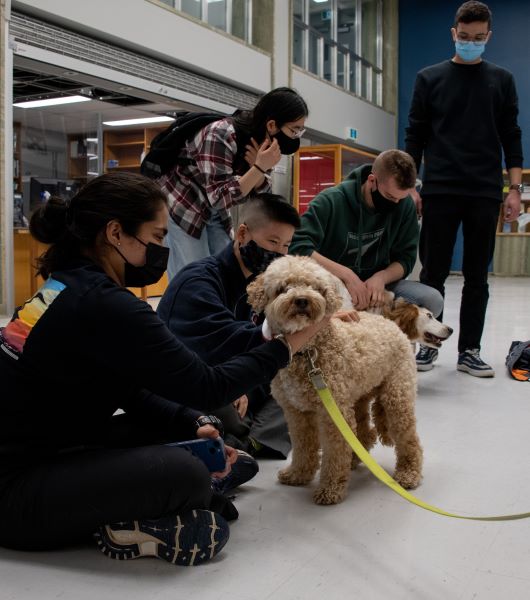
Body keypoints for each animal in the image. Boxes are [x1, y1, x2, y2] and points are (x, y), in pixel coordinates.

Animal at [245, 255, 422, 504]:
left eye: (313, 287)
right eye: (283, 288)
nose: (302, 301)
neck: (307, 353)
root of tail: (390, 323)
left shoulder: (331, 413)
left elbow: (334, 453)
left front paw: (331, 488)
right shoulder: (296, 412)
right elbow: (303, 447)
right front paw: (298, 474)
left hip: (396, 397)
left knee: (408, 437)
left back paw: (408, 473)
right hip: (357, 398)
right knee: (363, 434)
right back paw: (355, 459)